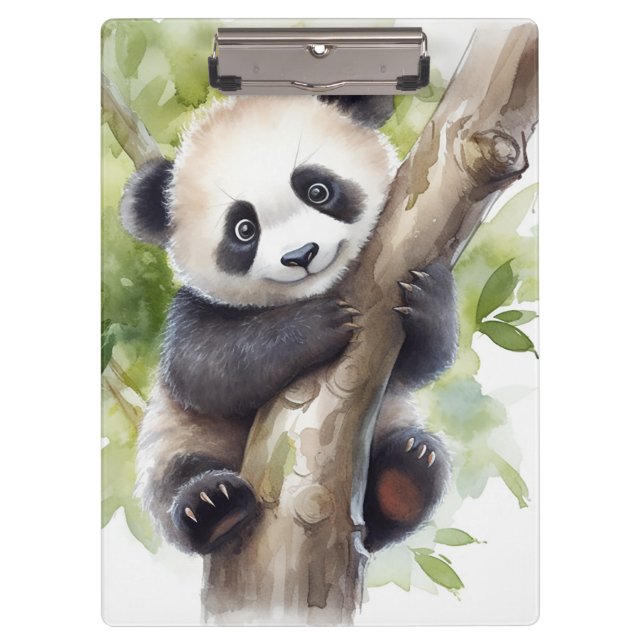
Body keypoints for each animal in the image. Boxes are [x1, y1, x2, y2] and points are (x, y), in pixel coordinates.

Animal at [120, 94, 457, 555]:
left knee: (406, 481)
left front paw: (428, 296)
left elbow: (417, 365)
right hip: (177, 439)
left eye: (318, 190)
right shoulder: (194, 311)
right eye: (244, 229)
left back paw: (405, 477)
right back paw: (213, 506)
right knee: (178, 477)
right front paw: (318, 325)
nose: (301, 255)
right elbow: (206, 372)